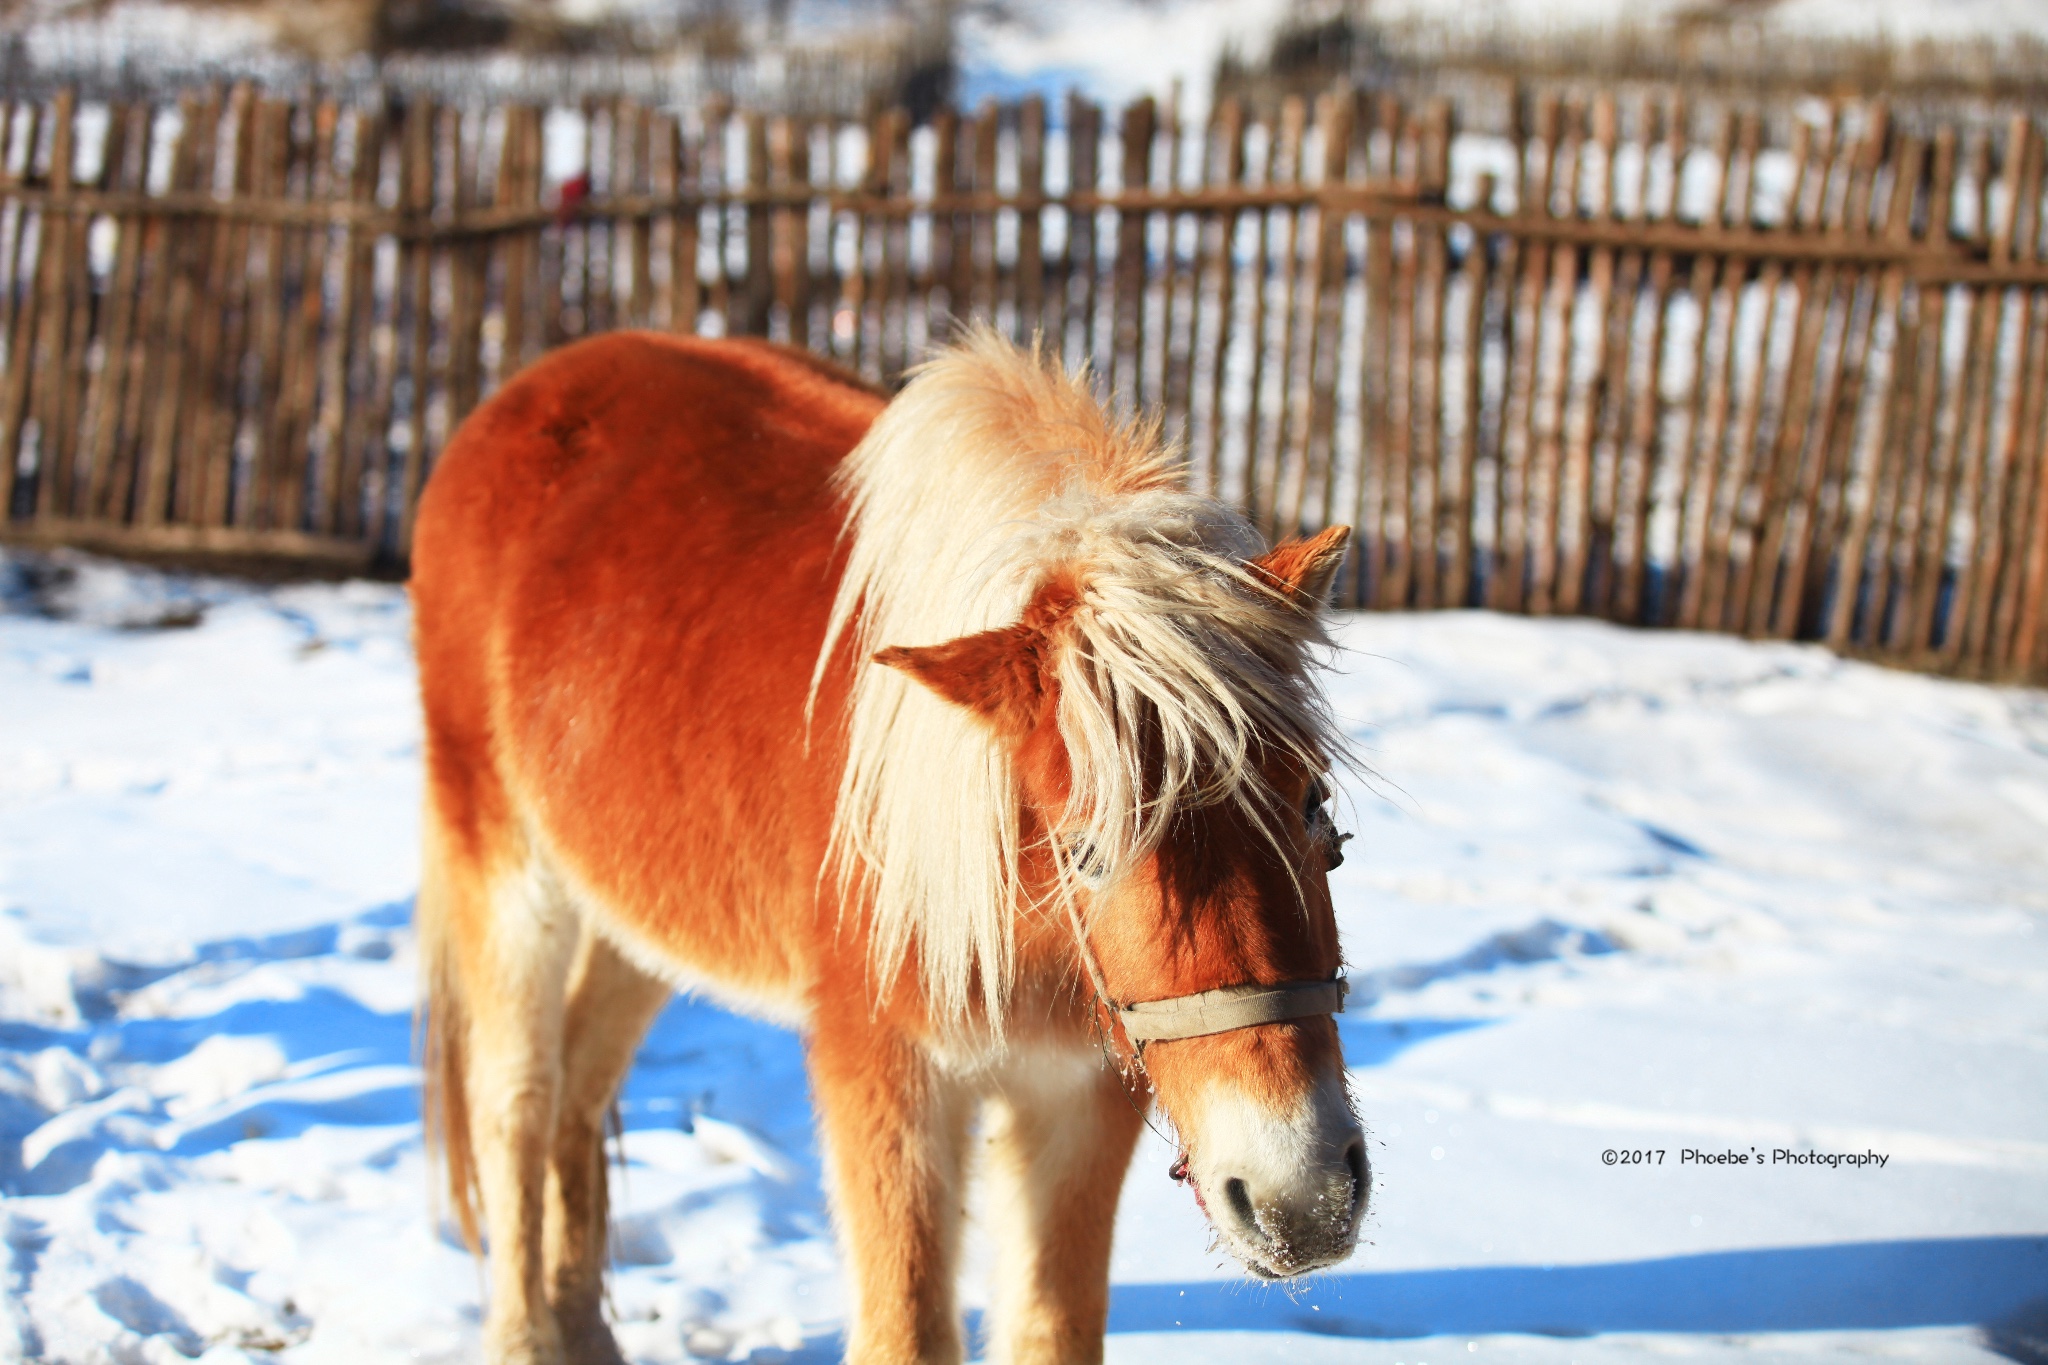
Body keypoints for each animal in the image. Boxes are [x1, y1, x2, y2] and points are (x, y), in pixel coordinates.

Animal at [411, 331, 1376, 1365]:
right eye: (1084, 849)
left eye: (1314, 805)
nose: (1304, 1199)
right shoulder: (886, 1075)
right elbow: (907, 1330)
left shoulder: (1083, 1094)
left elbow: (1052, 1326)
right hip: (507, 872)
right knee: (516, 1102)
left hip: (640, 912)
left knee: (580, 1093)